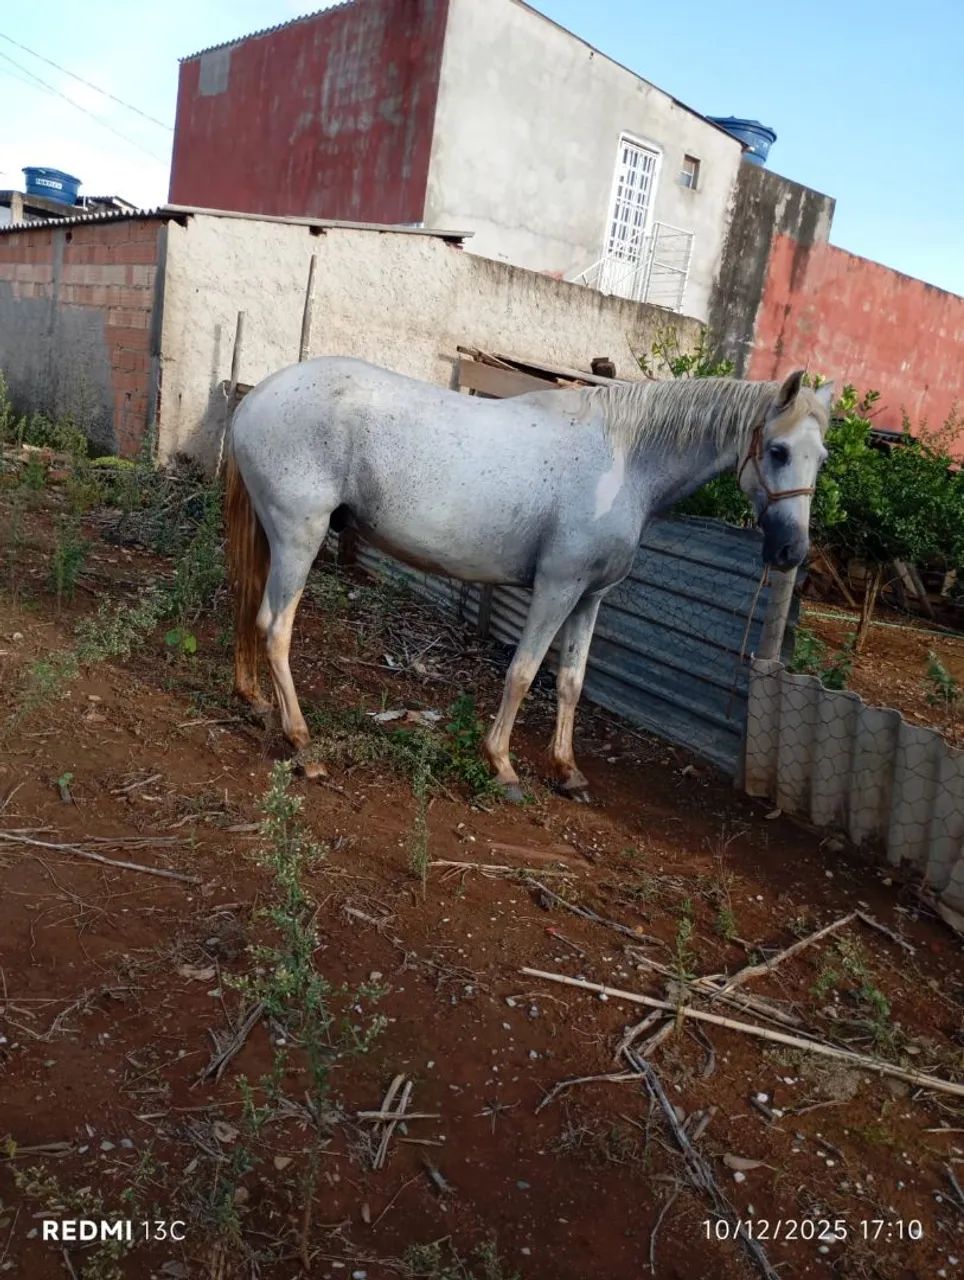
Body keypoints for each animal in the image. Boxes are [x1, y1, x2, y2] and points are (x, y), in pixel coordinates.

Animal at [226, 358, 832, 800]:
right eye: (778, 450)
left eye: (821, 457)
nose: (791, 552)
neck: (624, 462)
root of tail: (257, 398)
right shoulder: (556, 588)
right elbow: (522, 672)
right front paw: (502, 765)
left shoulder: (590, 598)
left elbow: (570, 681)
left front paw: (567, 770)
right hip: (300, 538)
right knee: (276, 627)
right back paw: (302, 744)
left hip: (276, 537)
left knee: (250, 608)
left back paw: (255, 701)